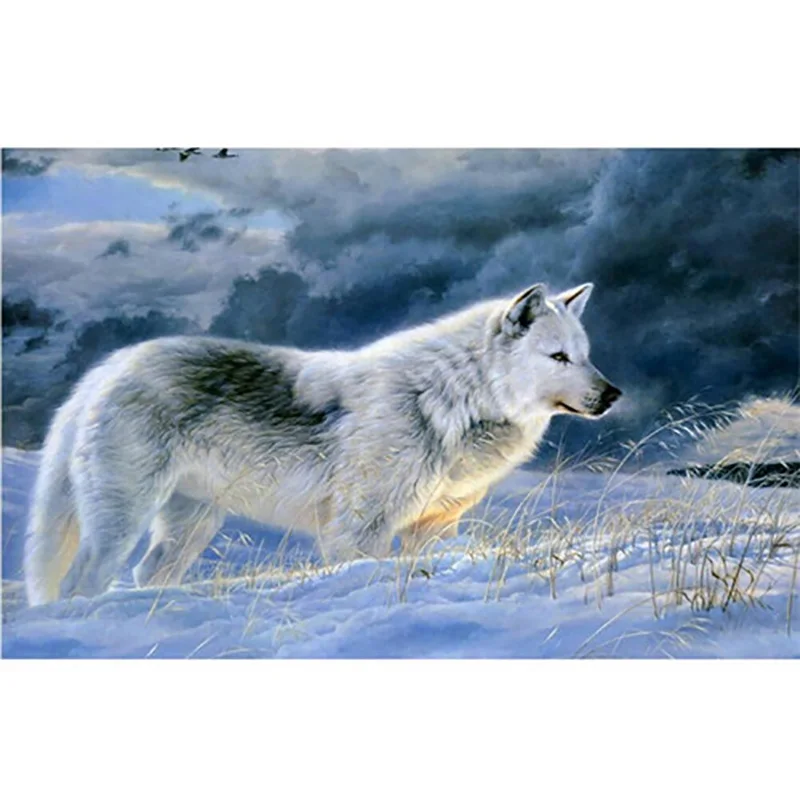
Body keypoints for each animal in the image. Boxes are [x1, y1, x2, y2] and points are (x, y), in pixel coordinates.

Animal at [24, 282, 621, 606]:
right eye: (558, 357)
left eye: (586, 355)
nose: (613, 394)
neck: (453, 400)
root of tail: (108, 367)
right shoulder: (357, 532)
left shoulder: (435, 528)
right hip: (122, 520)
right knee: (81, 581)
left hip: (189, 526)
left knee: (146, 576)